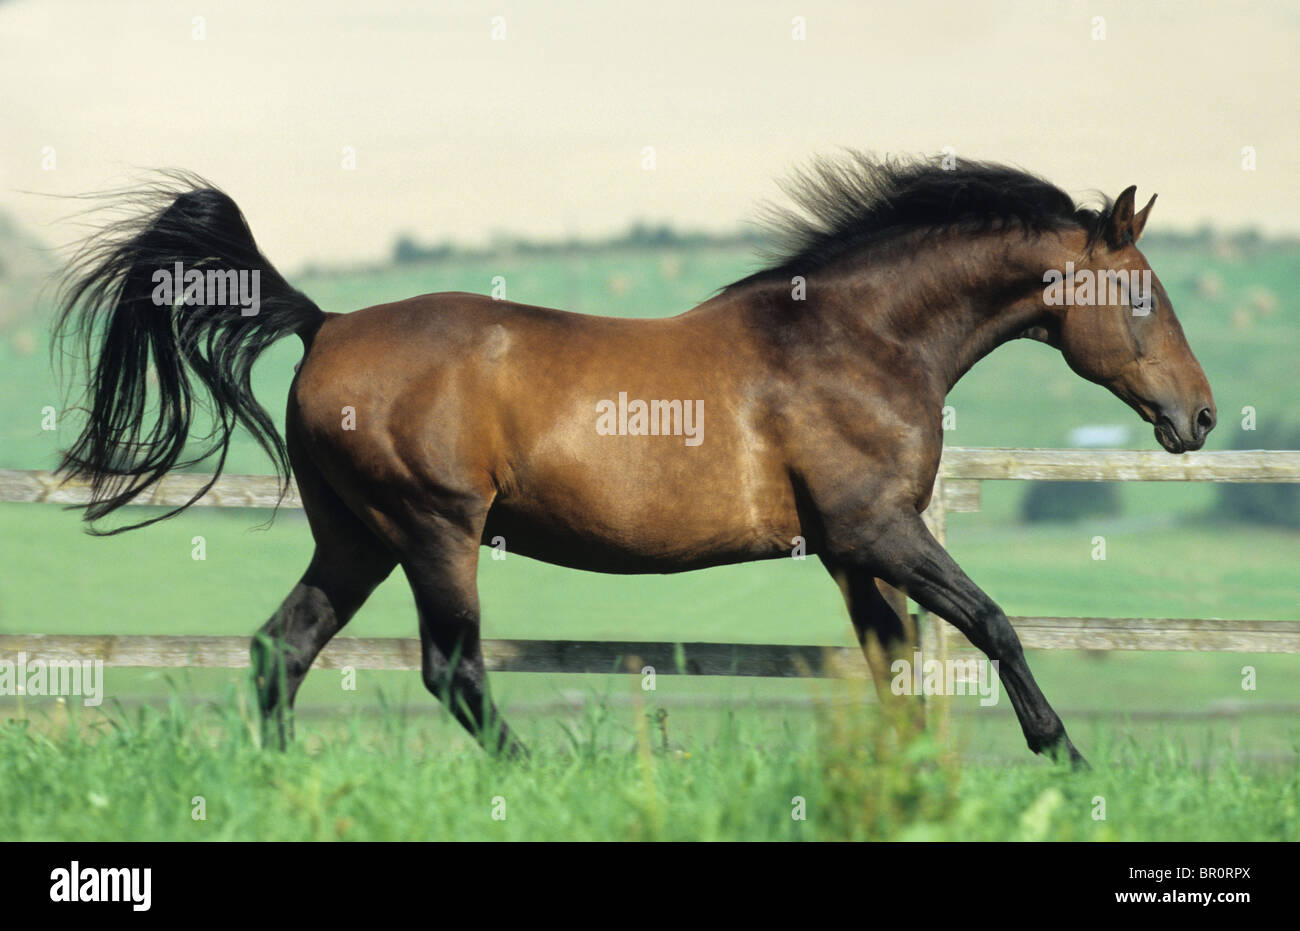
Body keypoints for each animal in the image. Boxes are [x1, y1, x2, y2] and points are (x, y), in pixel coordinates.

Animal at [58, 154, 1216, 764]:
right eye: (1140, 292)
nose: (1198, 417)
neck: (852, 340)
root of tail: (325, 322)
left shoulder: (851, 552)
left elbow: (892, 661)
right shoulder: (878, 528)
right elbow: (992, 623)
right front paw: (1062, 755)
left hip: (355, 538)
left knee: (278, 649)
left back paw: (278, 774)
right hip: (434, 530)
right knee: (451, 668)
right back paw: (529, 778)